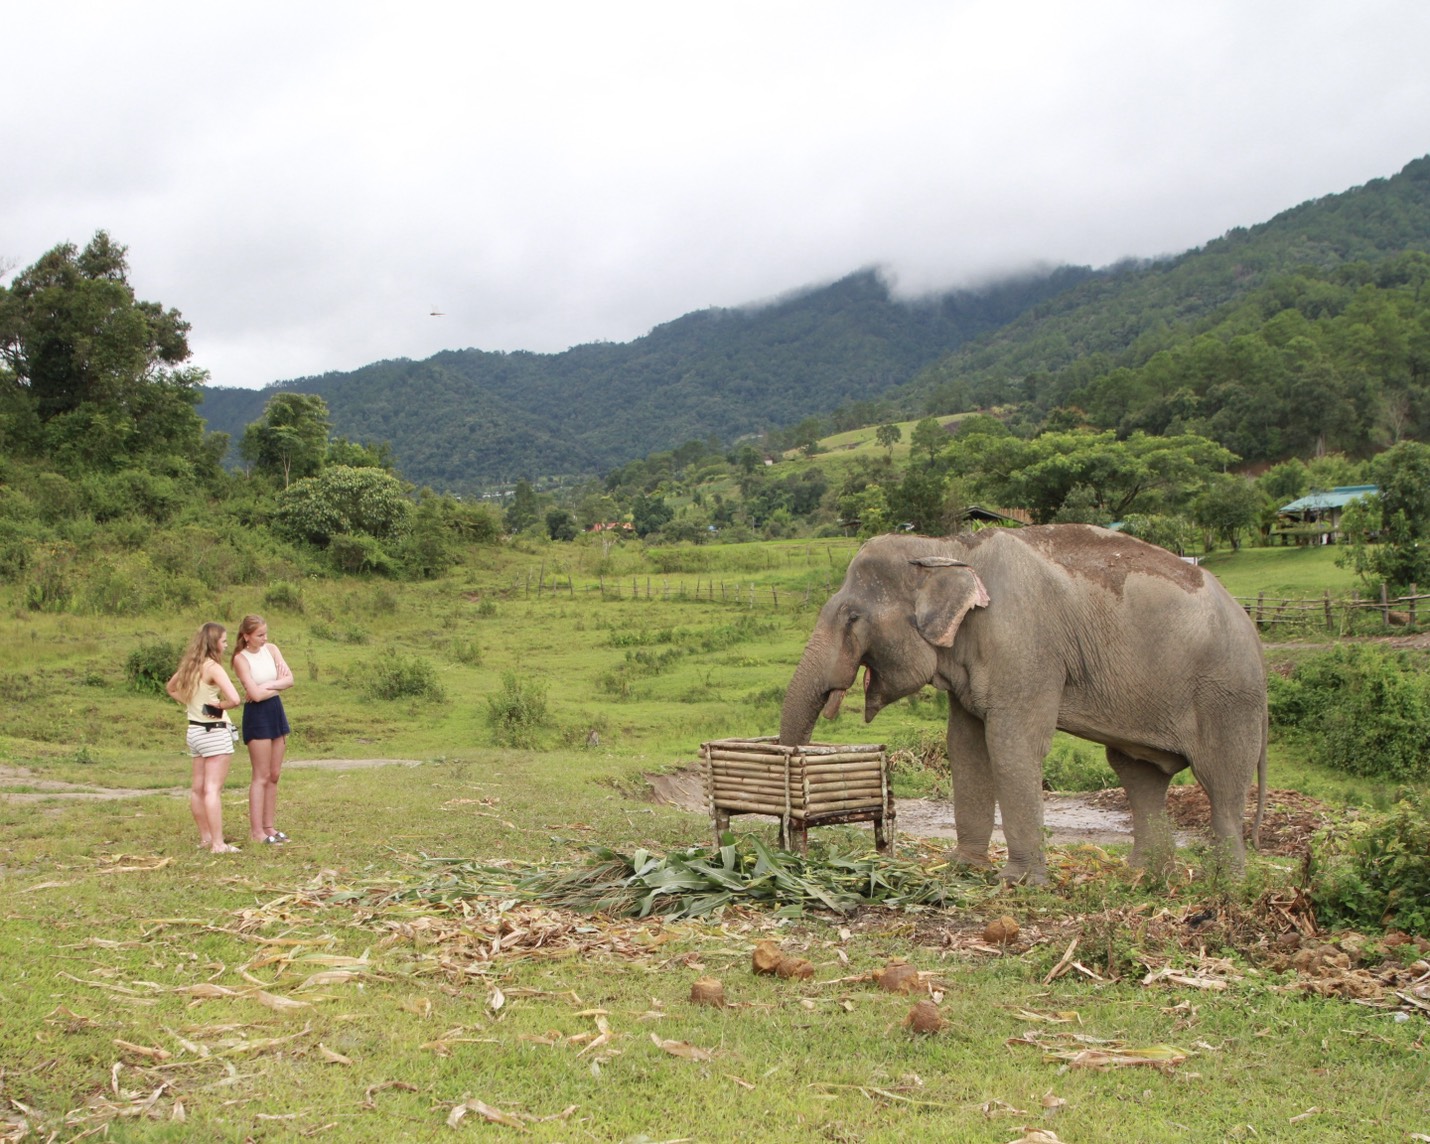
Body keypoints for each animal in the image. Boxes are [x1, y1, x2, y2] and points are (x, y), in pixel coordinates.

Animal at [779, 526, 1267, 883]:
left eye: (853, 618)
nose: (794, 854)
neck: (949, 547)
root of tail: (1253, 629)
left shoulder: (1025, 647)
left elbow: (1011, 745)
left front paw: (1018, 883)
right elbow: (966, 748)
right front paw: (964, 869)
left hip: (1228, 696)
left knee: (1221, 784)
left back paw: (1226, 885)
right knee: (1140, 775)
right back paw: (1143, 875)